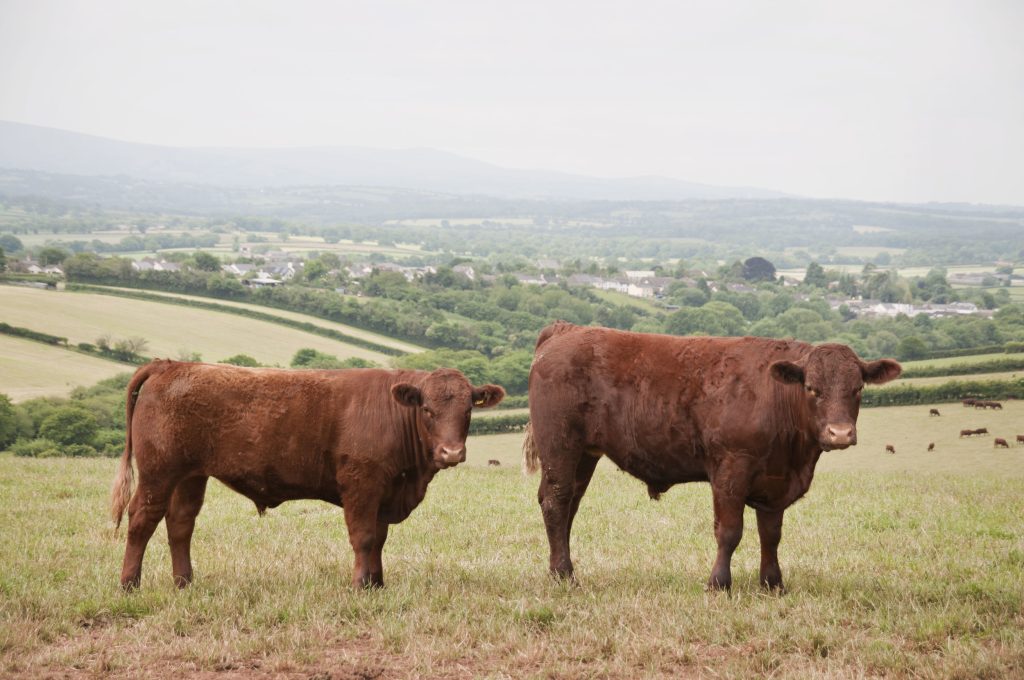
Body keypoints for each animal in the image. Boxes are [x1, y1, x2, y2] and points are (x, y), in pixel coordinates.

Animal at [111, 360, 503, 589]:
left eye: (468, 410)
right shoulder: (361, 485)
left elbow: (378, 539)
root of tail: (171, 364)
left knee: (180, 523)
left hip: (190, 475)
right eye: (427, 409)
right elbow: (363, 538)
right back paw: (129, 584)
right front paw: (360, 586)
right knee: (141, 519)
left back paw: (184, 583)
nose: (451, 452)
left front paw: (377, 584)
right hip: (158, 472)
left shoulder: (385, 490)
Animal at [524, 323, 901, 589]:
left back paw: (559, 570)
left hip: (584, 454)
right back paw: (565, 576)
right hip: (560, 444)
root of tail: (566, 330)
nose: (840, 433)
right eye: (812, 388)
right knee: (556, 501)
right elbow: (730, 531)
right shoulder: (731, 469)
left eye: (858, 389)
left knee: (570, 505)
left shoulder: (775, 480)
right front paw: (719, 583)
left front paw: (773, 583)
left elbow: (771, 534)